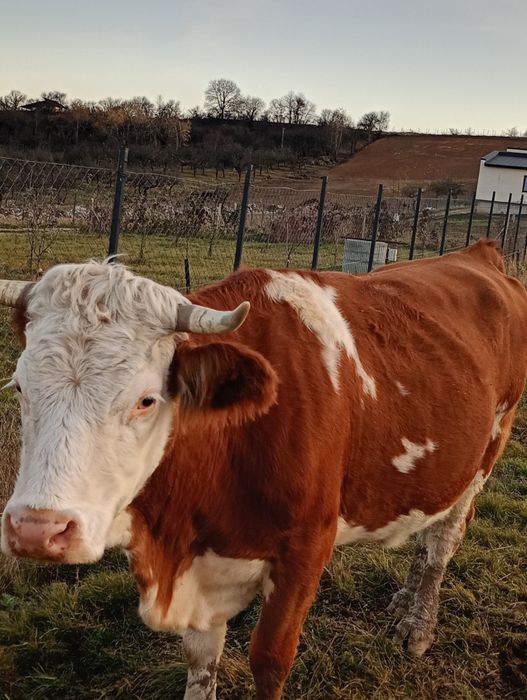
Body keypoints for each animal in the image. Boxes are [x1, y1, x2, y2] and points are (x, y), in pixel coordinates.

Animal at [1, 240, 526, 700]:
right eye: (20, 386)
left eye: (146, 400)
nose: (36, 529)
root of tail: (478, 253)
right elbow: (201, 658)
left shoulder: (307, 551)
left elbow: (270, 661)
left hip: (484, 454)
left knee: (441, 540)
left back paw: (417, 624)